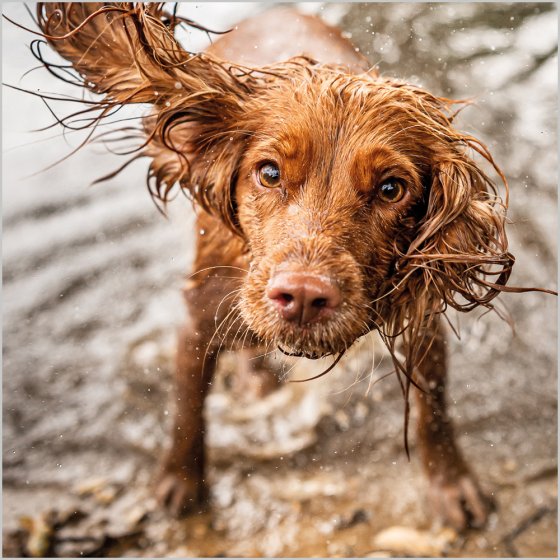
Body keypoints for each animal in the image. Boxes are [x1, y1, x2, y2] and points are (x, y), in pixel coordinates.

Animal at [21, 3, 544, 528]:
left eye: (392, 188)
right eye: (269, 173)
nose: (304, 296)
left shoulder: (421, 314)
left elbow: (433, 405)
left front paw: (452, 486)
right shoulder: (202, 315)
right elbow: (187, 409)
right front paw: (180, 484)